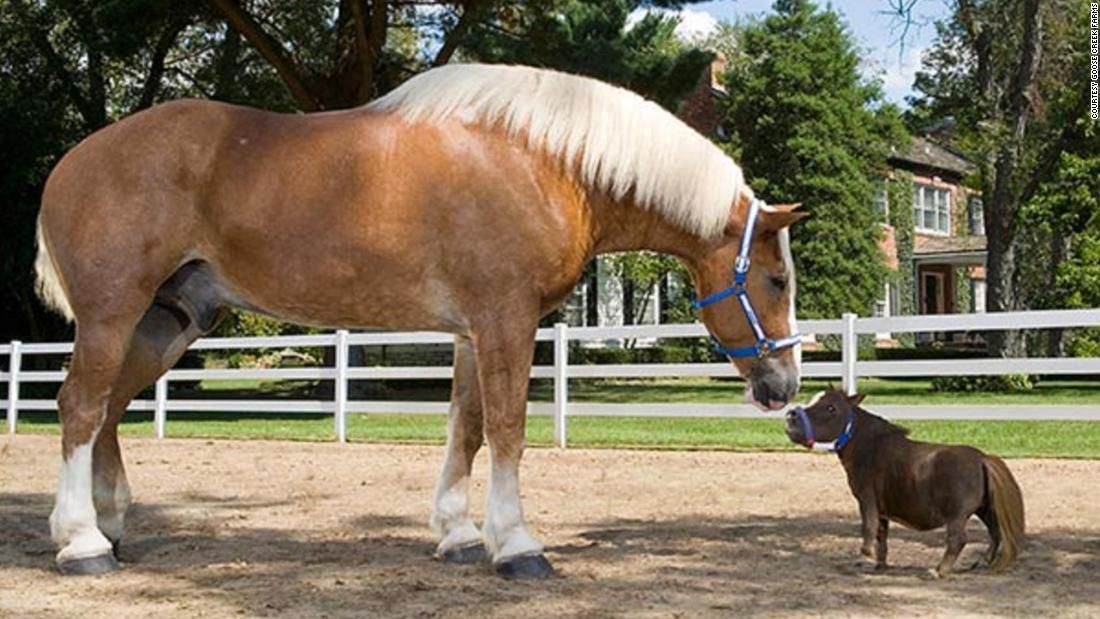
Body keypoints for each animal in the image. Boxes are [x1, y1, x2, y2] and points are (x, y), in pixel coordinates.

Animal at [34, 62, 809, 576]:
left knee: (111, 405)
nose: (784, 385)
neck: (547, 164)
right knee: (80, 404)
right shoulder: (506, 319)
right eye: (775, 279)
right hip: (112, 313)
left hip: (171, 319)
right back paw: (81, 543)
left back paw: (109, 524)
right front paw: (516, 544)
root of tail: (72, 162)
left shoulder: (473, 330)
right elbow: (507, 429)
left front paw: (461, 534)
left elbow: (466, 428)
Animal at [783, 389, 1020, 580]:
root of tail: (982, 458)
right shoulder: (882, 509)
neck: (869, 448)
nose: (791, 417)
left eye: (831, 407)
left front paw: (865, 556)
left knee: (959, 540)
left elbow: (868, 528)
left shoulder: (867, 500)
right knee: (995, 532)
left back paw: (939, 570)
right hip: (984, 509)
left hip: (957, 515)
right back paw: (981, 562)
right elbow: (881, 535)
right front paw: (880, 564)